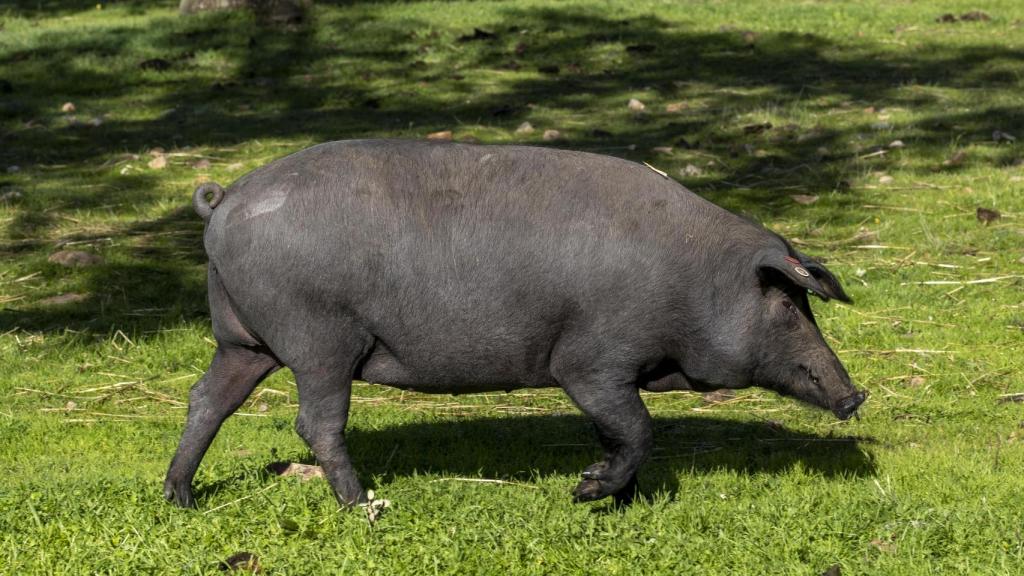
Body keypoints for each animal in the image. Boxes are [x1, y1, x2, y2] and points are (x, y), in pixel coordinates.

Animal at [164, 139, 864, 509]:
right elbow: (638, 428)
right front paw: (585, 493)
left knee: (206, 400)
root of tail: (225, 199)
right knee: (315, 423)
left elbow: (621, 434)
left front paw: (622, 499)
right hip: (319, 339)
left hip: (242, 339)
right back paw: (366, 505)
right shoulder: (589, 361)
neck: (692, 279)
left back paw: (181, 498)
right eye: (787, 305)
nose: (855, 395)